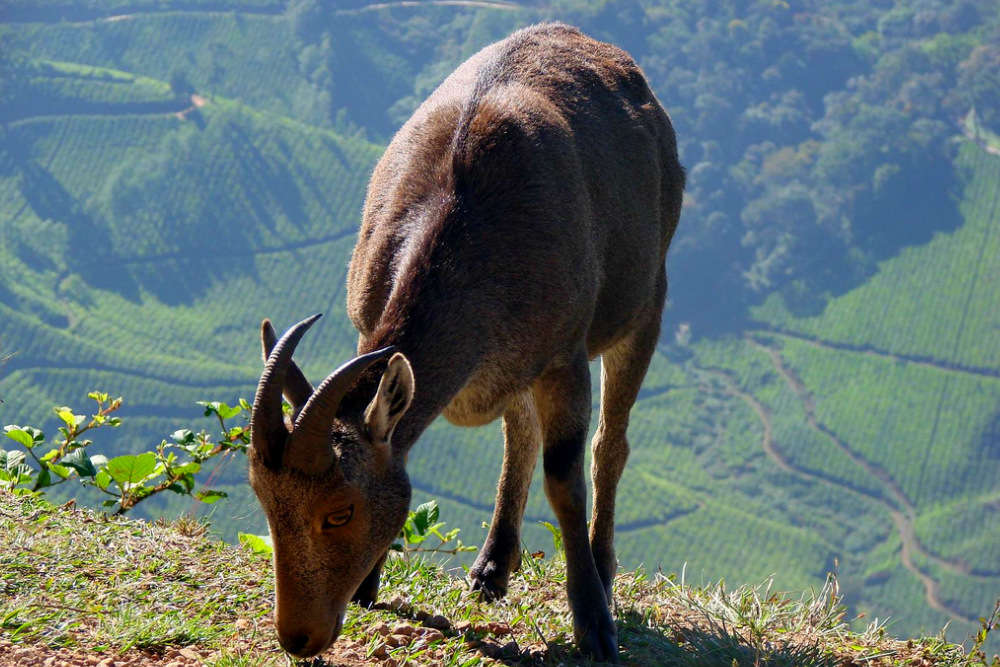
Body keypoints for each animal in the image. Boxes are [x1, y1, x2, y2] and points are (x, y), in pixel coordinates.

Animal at [252, 22, 688, 664]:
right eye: (265, 501)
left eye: (339, 512)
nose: (298, 637)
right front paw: (371, 583)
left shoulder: (564, 357)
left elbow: (565, 477)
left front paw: (594, 626)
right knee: (519, 434)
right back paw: (491, 567)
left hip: (646, 304)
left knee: (610, 443)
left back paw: (602, 569)